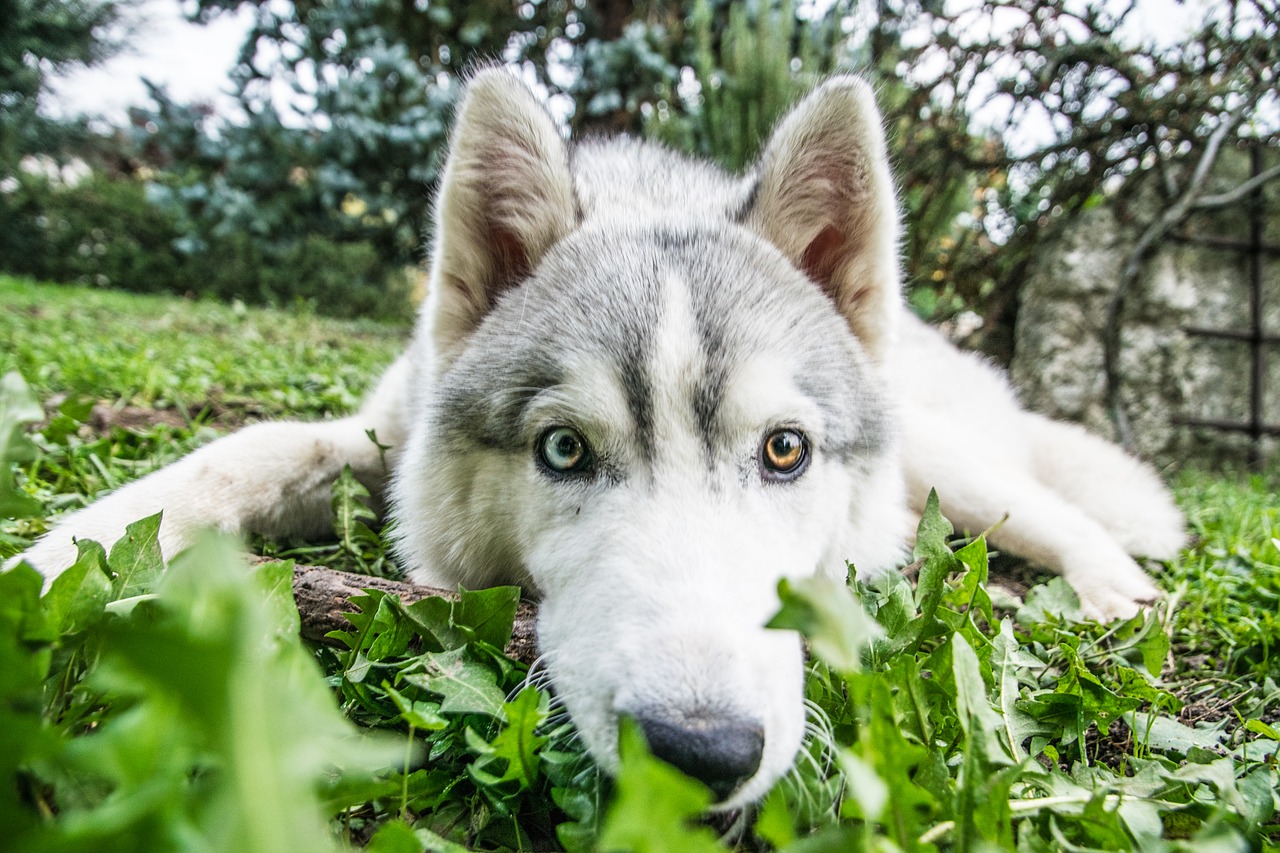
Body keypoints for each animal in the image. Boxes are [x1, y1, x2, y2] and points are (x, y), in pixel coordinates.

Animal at [15, 68, 1182, 804]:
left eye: (785, 451)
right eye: (564, 451)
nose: (699, 751)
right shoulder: (378, 436)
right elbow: (244, 449)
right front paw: (56, 559)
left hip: (949, 464)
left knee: (1058, 512)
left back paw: (1111, 593)